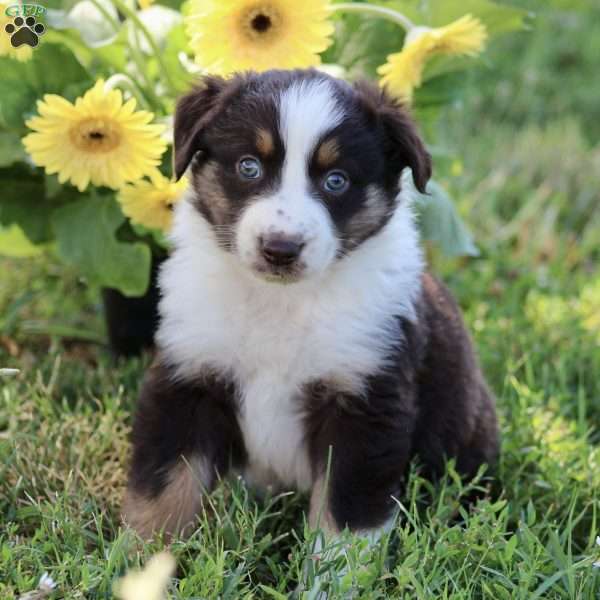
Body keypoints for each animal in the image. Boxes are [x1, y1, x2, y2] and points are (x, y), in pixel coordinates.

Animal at [122, 69, 496, 544]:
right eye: (249, 166)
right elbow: (163, 492)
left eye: (336, 180)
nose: (280, 249)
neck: (281, 300)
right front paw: (140, 557)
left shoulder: (365, 399)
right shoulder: (189, 374)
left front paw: (333, 568)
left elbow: (345, 518)